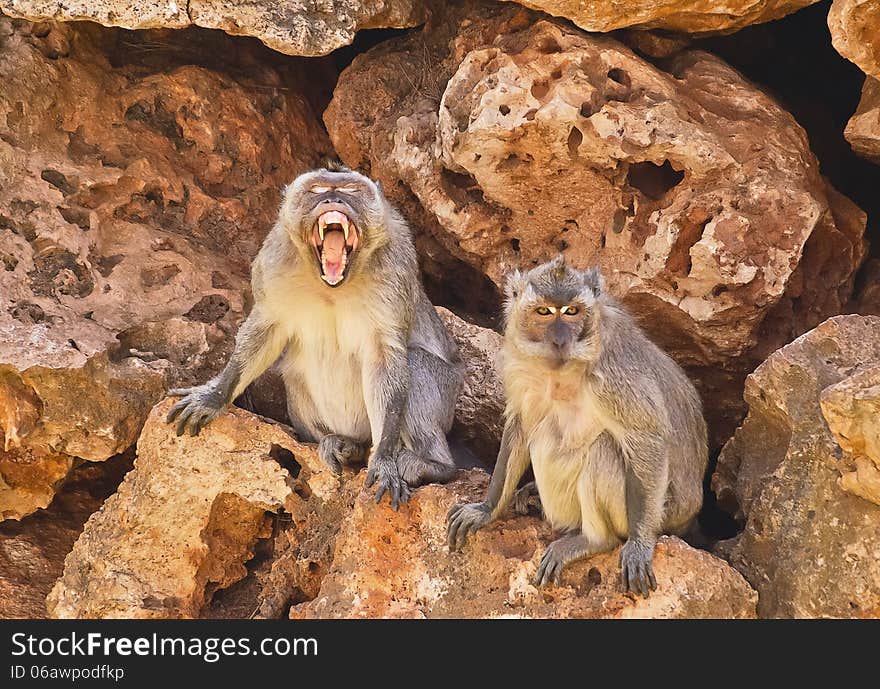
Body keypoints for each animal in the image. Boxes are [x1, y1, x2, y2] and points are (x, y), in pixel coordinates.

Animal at [167, 163, 468, 506]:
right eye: (318, 190)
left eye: (350, 190)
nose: (333, 199)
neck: (333, 285)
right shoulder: (274, 261)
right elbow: (265, 329)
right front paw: (214, 396)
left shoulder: (397, 267)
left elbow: (385, 355)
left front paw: (384, 461)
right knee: (295, 376)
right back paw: (348, 446)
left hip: (449, 392)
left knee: (415, 363)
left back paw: (431, 464)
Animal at [446, 255, 708, 592]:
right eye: (544, 311)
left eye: (571, 311)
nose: (560, 340)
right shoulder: (520, 369)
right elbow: (521, 425)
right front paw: (486, 509)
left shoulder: (612, 376)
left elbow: (647, 438)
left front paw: (639, 544)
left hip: (658, 514)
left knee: (603, 449)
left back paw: (595, 541)